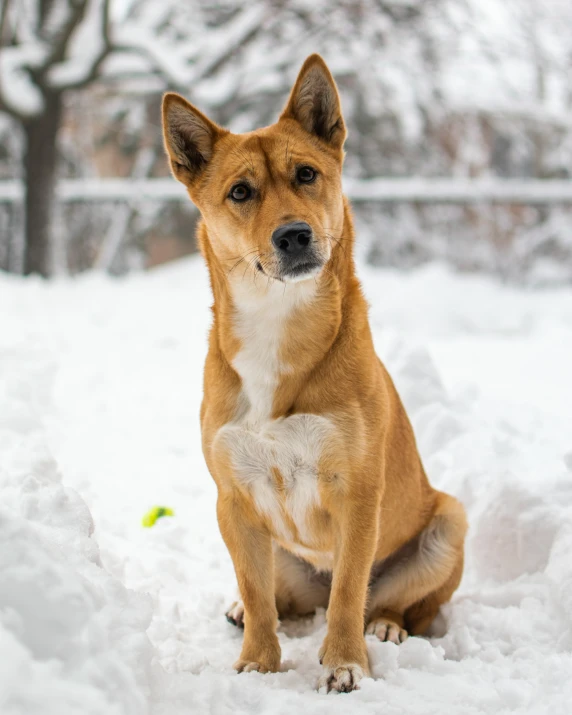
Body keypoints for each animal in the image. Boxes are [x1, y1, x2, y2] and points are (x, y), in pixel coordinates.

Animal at [161, 53, 464, 692]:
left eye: (306, 174)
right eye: (241, 191)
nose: (294, 234)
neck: (279, 327)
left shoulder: (356, 492)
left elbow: (350, 588)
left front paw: (345, 664)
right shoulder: (233, 497)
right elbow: (257, 594)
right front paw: (258, 662)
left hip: (450, 520)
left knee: (393, 602)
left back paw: (386, 628)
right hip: (275, 550)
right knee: (277, 599)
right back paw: (244, 612)